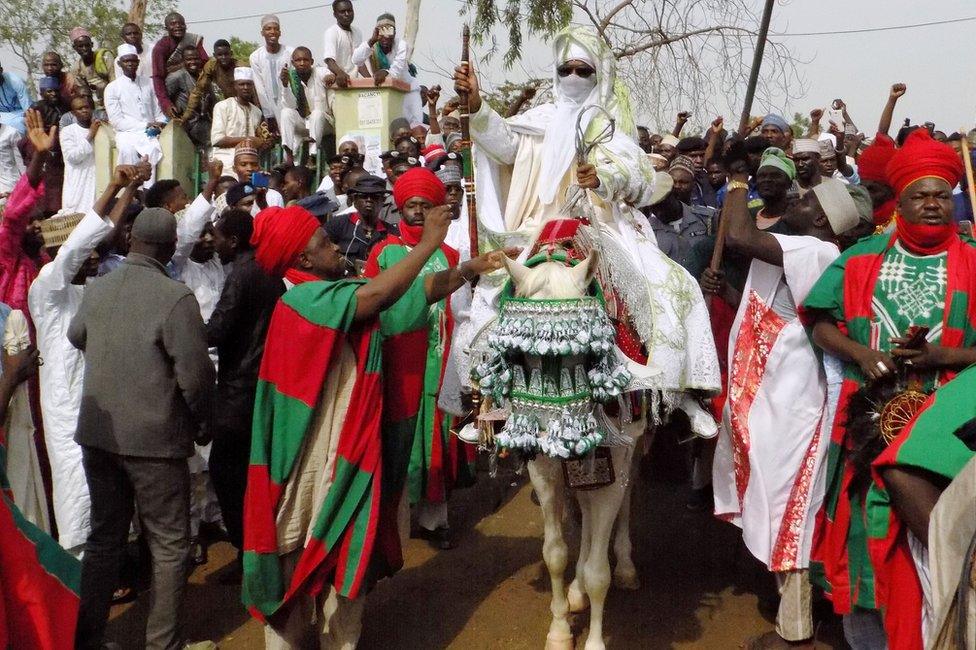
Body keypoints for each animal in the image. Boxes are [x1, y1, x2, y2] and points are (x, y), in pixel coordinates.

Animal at [500, 254, 644, 648]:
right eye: (523, 357)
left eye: (583, 355)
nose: (552, 433)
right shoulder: (545, 470)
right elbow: (554, 554)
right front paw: (560, 629)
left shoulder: (615, 461)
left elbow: (599, 572)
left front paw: (593, 640)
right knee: (586, 508)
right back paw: (576, 589)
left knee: (623, 499)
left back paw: (625, 566)